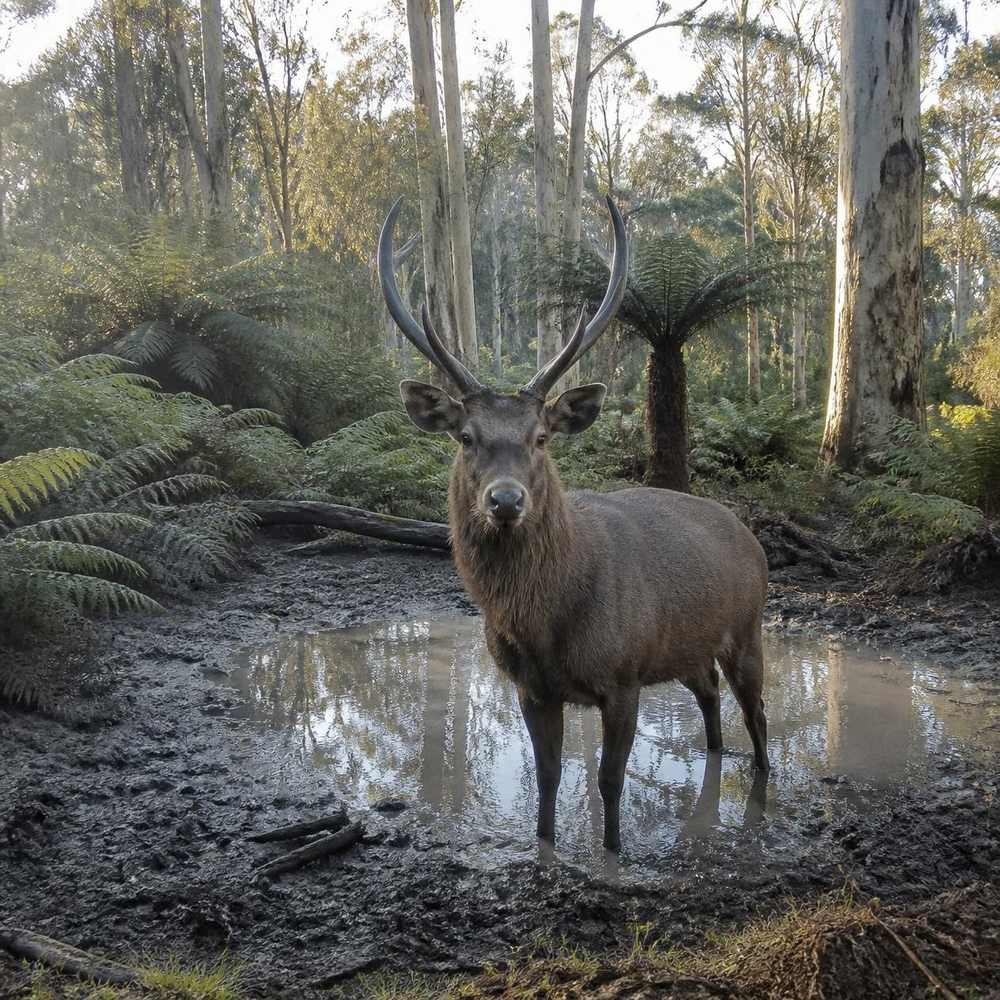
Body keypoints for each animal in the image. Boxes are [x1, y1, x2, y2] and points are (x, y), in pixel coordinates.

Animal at [378, 195, 769, 852]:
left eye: (541, 437)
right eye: (465, 437)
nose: (505, 501)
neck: (549, 627)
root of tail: (750, 535)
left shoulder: (625, 676)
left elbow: (609, 783)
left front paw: (612, 851)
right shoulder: (529, 686)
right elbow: (549, 777)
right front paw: (546, 846)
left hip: (747, 628)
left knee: (758, 717)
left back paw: (763, 791)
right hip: (689, 649)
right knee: (712, 700)